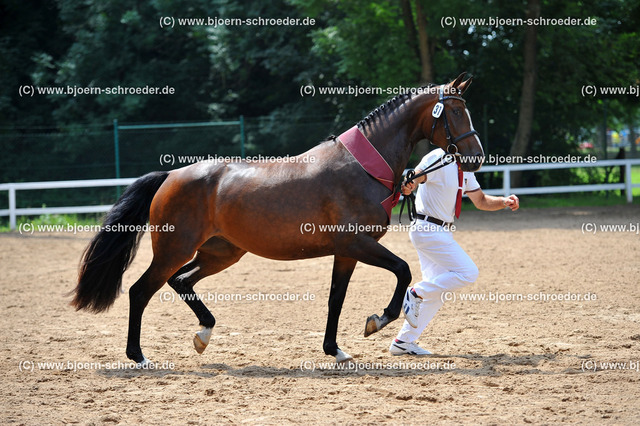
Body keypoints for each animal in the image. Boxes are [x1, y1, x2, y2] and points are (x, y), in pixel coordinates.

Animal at [71, 71, 480, 364]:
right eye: (455, 111)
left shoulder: (346, 252)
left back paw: (204, 334)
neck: (362, 168)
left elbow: (336, 298)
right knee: (141, 291)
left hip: (221, 252)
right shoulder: (356, 243)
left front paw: (335, 350)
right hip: (174, 249)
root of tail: (171, 175)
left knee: (181, 281)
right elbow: (403, 271)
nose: (476, 157)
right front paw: (379, 320)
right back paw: (138, 356)